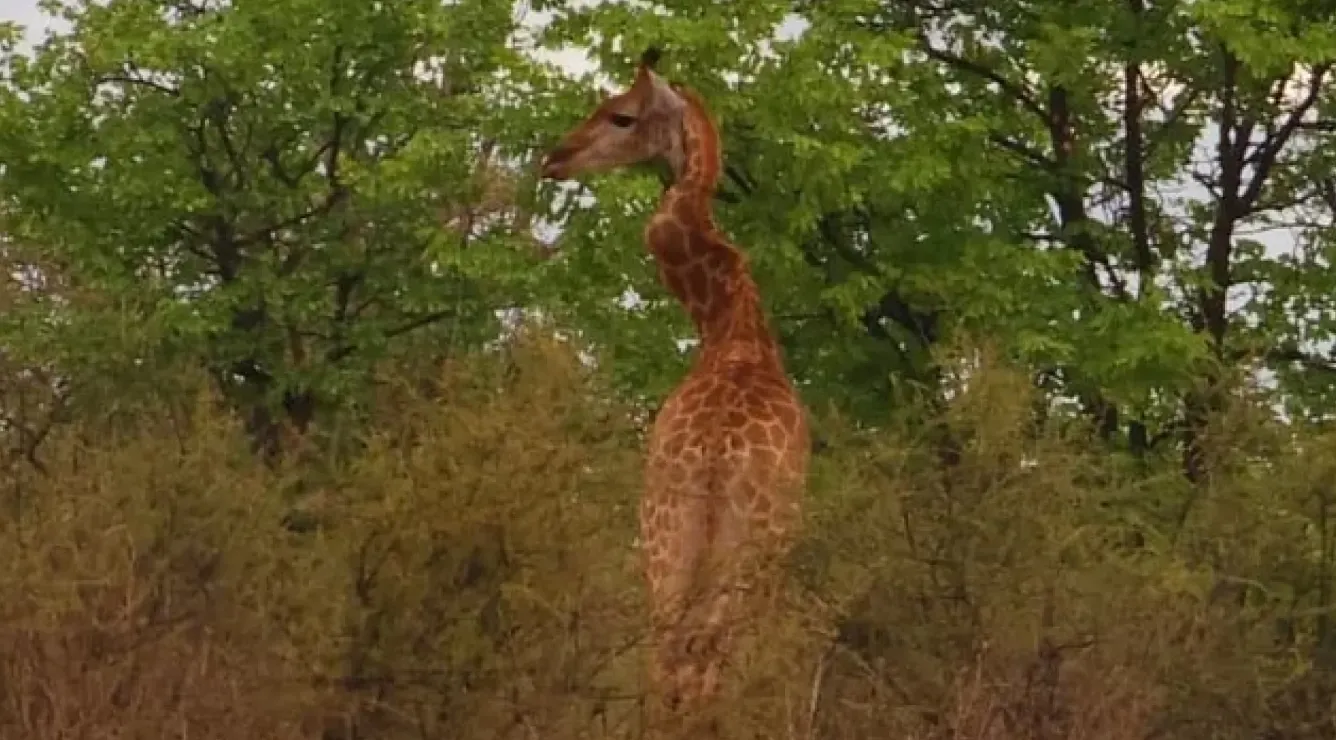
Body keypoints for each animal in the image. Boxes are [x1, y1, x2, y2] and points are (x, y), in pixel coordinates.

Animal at [537, 49, 806, 731]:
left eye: (621, 115)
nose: (554, 158)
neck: (728, 325)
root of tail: (715, 456)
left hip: (668, 543)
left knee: (668, 663)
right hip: (735, 553)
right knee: (701, 667)